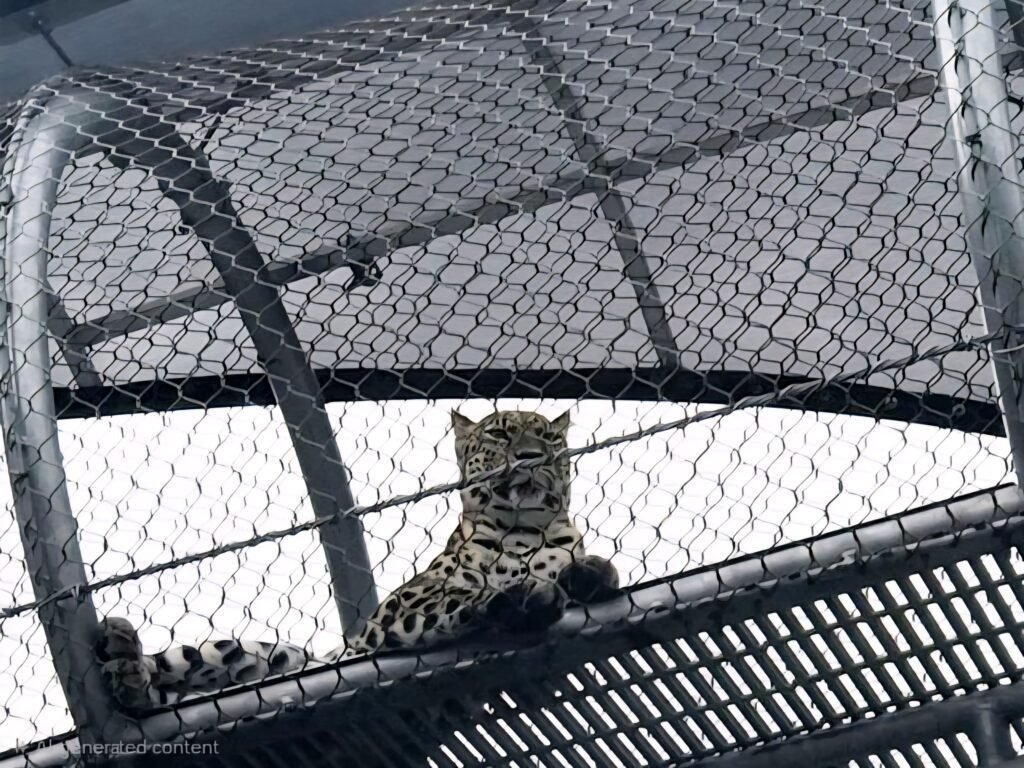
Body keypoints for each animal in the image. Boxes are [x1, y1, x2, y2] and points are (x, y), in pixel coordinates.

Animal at [97, 409, 621, 710]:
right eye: (498, 434)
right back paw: (125, 660)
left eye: (549, 439)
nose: (532, 456)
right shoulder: (401, 609)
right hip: (254, 651)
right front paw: (520, 596)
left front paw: (591, 573)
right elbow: (460, 596)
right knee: (161, 681)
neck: (525, 530)